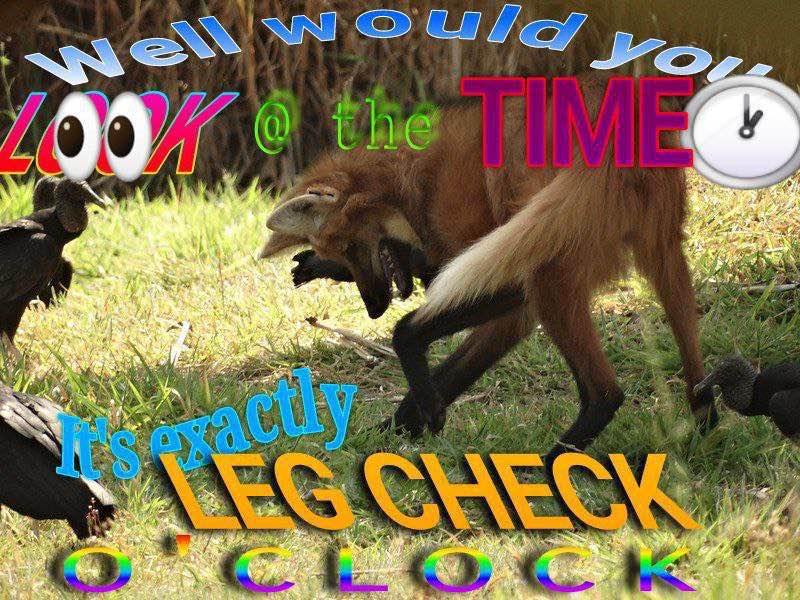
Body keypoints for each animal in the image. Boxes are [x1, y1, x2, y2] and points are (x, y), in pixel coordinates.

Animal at [260, 74, 716, 462]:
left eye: (351, 247)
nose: (373, 308)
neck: (410, 182)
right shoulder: (512, 306)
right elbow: (453, 371)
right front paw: (396, 428)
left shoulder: (503, 274)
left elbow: (409, 333)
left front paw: (421, 416)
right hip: (662, 253)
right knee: (693, 364)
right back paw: (700, 428)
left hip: (550, 265)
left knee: (606, 394)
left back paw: (548, 466)